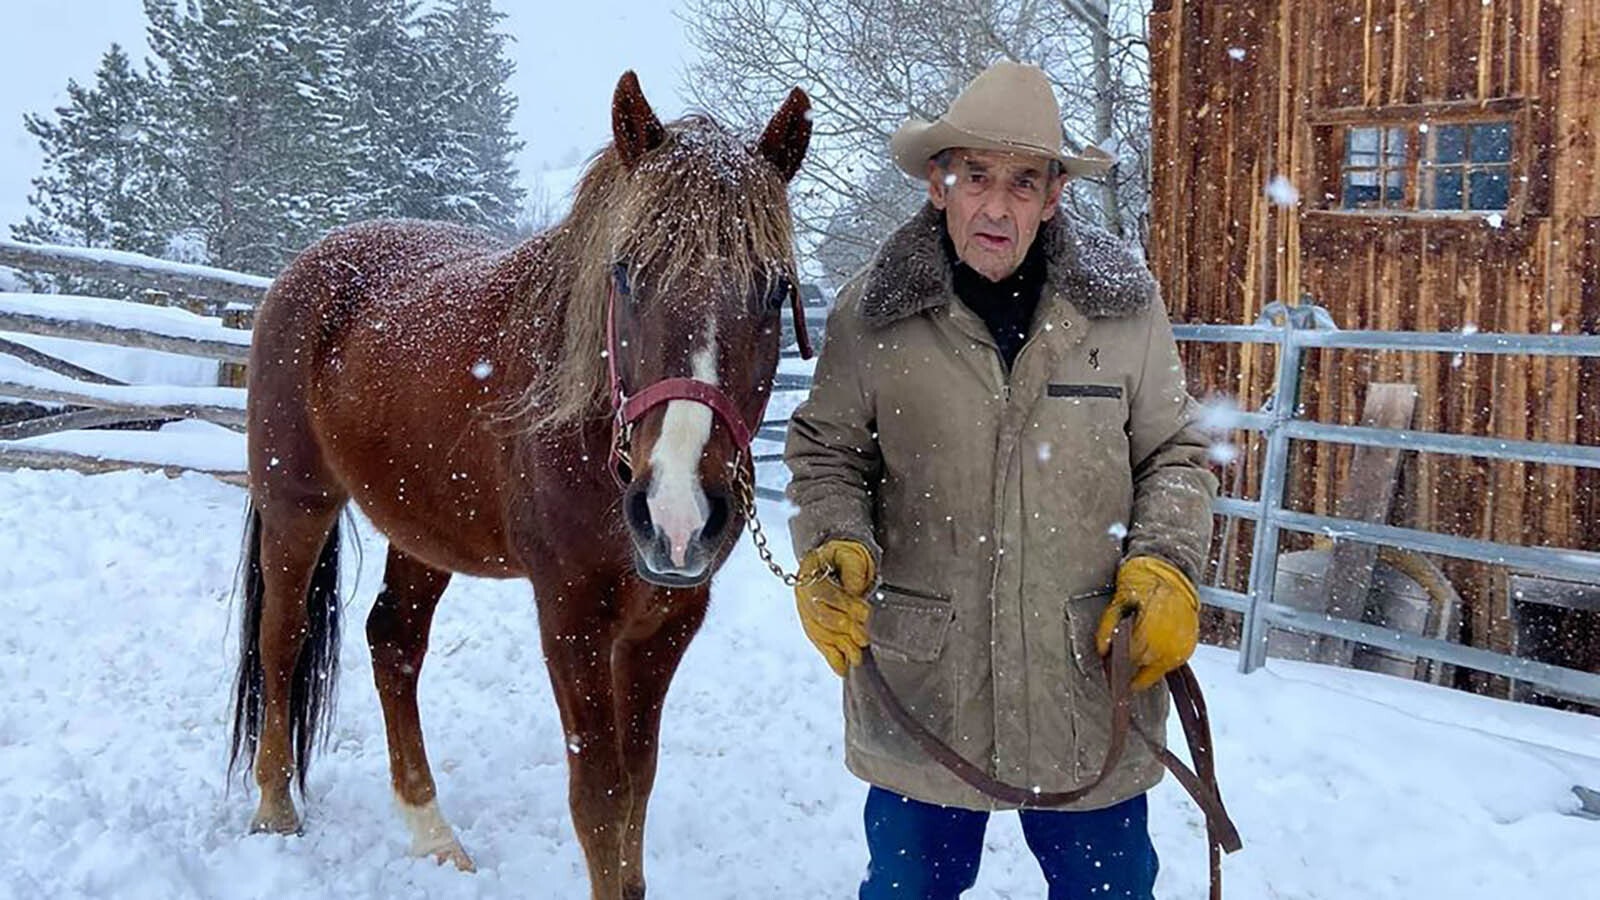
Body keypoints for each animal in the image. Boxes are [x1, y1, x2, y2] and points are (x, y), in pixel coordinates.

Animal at [226, 71, 812, 899]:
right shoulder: (570, 616)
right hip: (296, 504)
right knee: (283, 640)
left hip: (422, 533)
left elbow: (638, 783)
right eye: (626, 274)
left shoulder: (667, 621)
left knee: (392, 643)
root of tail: (305, 268)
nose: (677, 513)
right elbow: (600, 797)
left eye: (773, 290)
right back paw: (276, 810)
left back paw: (433, 835)